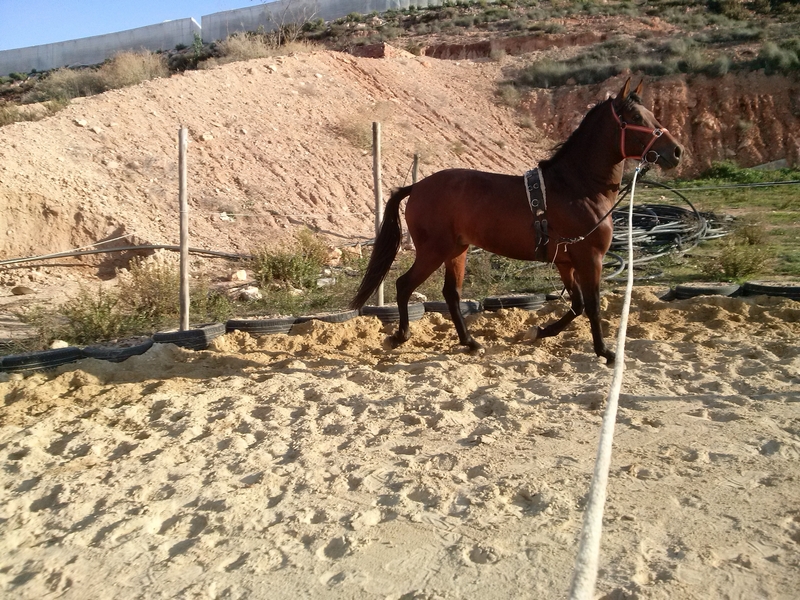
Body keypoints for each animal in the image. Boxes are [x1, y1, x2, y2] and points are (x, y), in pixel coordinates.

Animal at [351, 79, 683, 364]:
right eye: (636, 117)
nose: (676, 152)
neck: (577, 188)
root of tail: (417, 186)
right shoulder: (590, 259)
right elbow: (591, 304)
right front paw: (605, 352)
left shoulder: (566, 262)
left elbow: (576, 305)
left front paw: (541, 331)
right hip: (434, 251)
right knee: (405, 285)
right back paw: (401, 336)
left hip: (457, 251)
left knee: (451, 294)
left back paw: (470, 342)